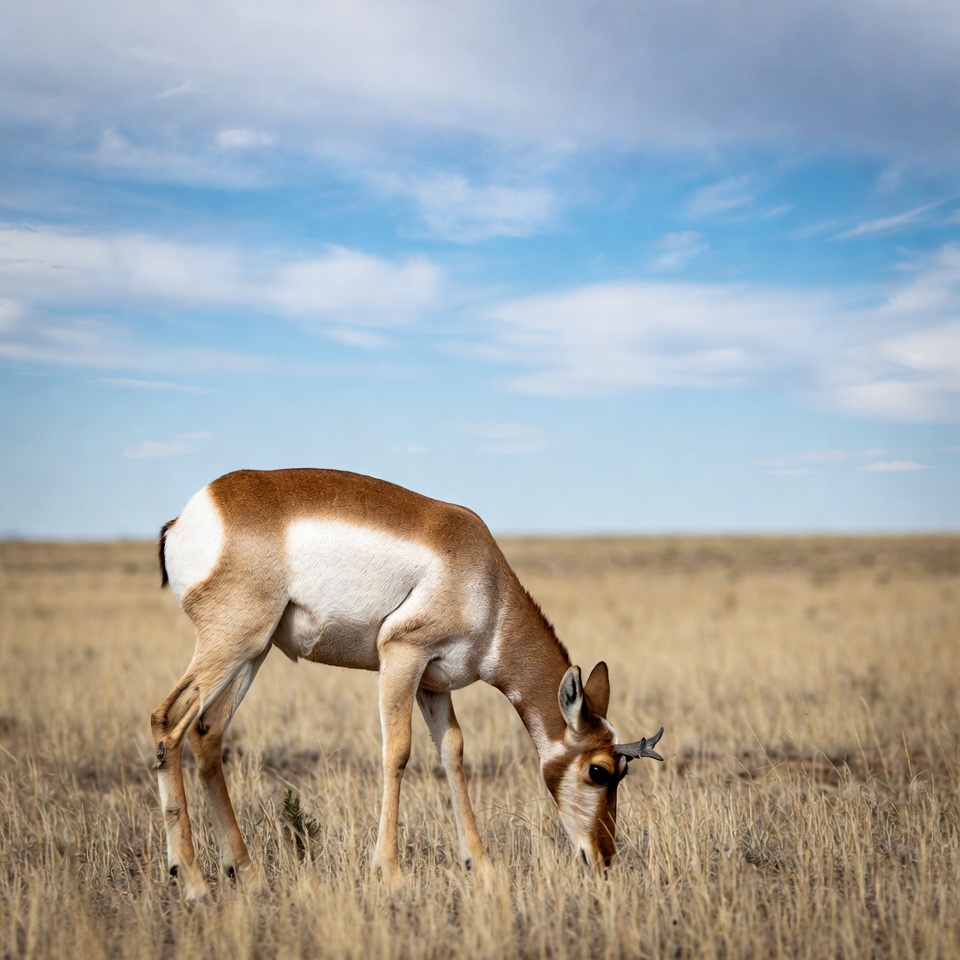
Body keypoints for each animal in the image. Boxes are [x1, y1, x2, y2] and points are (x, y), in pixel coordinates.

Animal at [151, 468, 664, 901]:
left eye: (622, 772)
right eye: (598, 770)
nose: (604, 858)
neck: (483, 578)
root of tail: (193, 514)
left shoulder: (433, 684)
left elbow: (452, 752)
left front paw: (480, 863)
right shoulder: (402, 656)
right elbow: (397, 752)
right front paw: (392, 872)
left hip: (251, 654)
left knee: (207, 733)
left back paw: (246, 872)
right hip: (231, 645)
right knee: (168, 720)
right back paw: (192, 880)